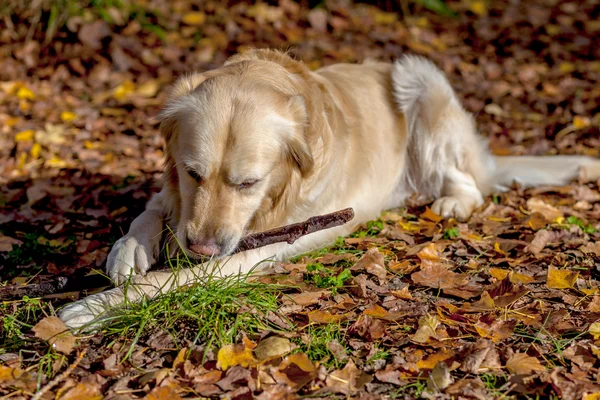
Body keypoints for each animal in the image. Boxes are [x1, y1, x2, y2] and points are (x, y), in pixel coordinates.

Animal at [57, 48, 600, 328]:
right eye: (193, 174)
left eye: (249, 183)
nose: (200, 246)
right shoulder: (175, 192)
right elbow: (148, 213)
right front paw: (128, 251)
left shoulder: (254, 249)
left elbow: (169, 281)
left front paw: (92, 307)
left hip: (418, 77)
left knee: (468, 182)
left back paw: (449, 201)